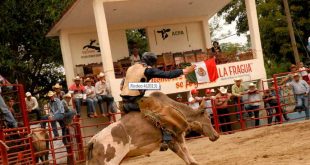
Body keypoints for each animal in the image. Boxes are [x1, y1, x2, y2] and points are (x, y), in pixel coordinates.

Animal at [86, 91, 219, 165]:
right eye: (209, 118)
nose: (216, 135)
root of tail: (94, 141)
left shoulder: (170, 141)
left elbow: (183, 156)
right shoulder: (177, 135)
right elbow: (186, 152)